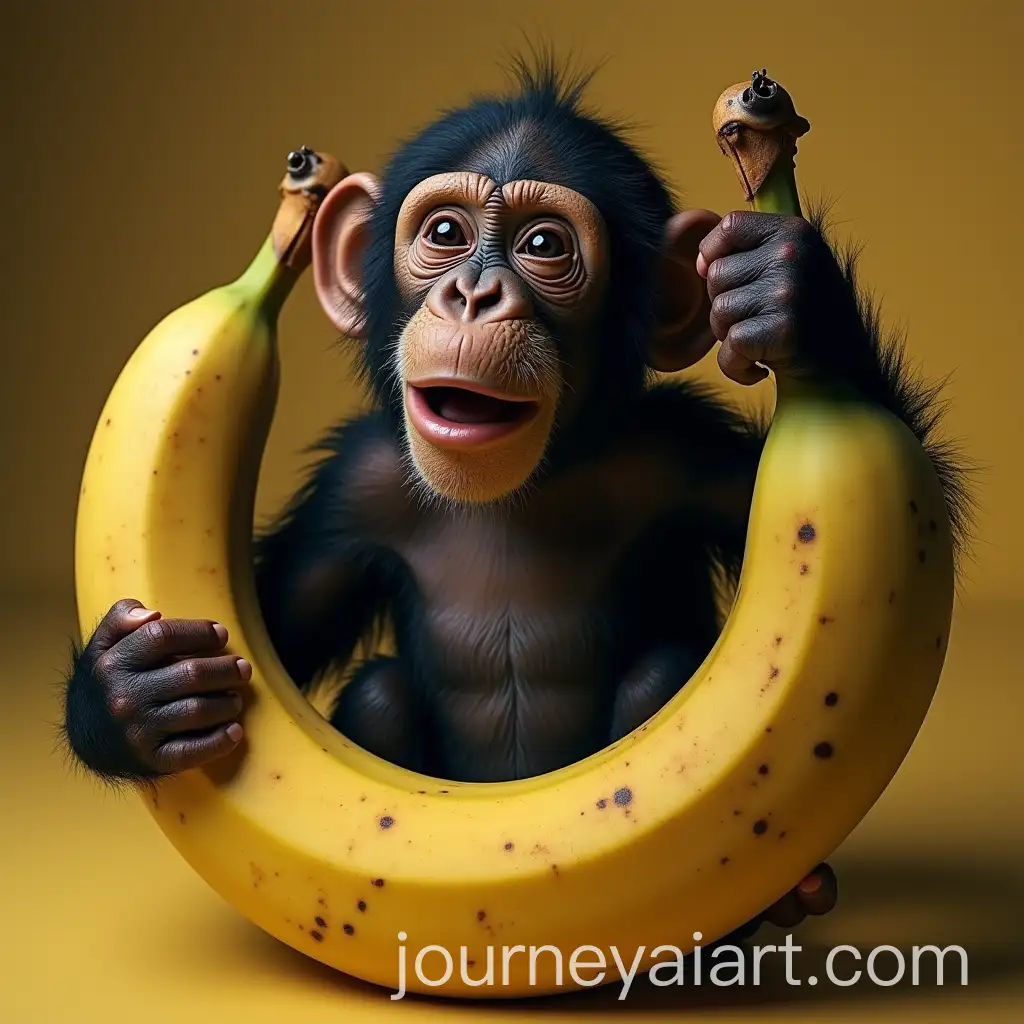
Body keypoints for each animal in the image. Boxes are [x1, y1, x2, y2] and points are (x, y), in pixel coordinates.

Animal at [61, 57, 972, 940]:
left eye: (543, 245)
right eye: (445, 234)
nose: (473, 294)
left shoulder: (682, 455)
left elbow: (929, 511)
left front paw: (791, 295)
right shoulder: (357, 488)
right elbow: (275, 628)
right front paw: (132, 690)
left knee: (657, 674)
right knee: (381, 694)